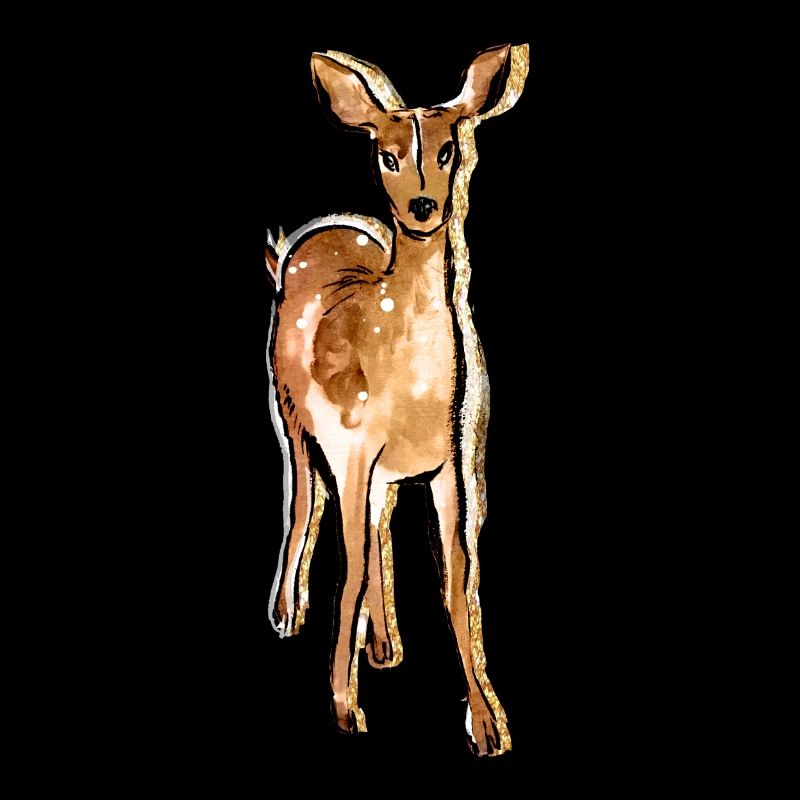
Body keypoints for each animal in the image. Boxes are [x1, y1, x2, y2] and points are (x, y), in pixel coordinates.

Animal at [264, 44, 529, 756]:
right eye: (386, 155)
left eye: (450, 150)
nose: (422, 205)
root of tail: (299, 242)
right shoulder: (354, 449)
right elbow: (351, 568)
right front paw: (345, 709)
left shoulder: (452, 464)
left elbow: (457, 579)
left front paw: (487, 727)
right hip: (290, 412)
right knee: (303, 497)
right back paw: (286, 614)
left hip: (382, 470)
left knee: (377, 527)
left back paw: (384, 646)